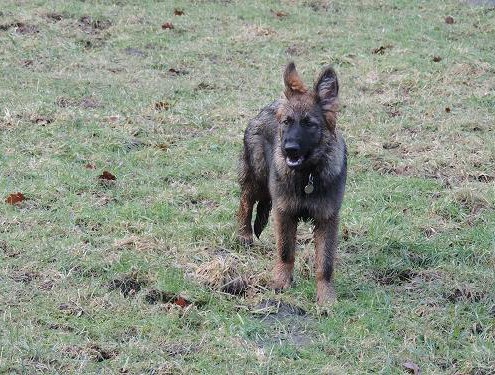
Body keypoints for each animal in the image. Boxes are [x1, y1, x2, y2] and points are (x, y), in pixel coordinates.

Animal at [237, 62, 346, 306]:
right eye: (287, 122)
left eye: (309, 124)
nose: (289, 149)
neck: (307, 176)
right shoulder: (284, 212)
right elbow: (286, 251)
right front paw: (281, 282)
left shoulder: (327, 218)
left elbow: (325, 263)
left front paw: (326, 296)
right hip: (257, 174)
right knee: (246, 200)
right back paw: (244, 235)